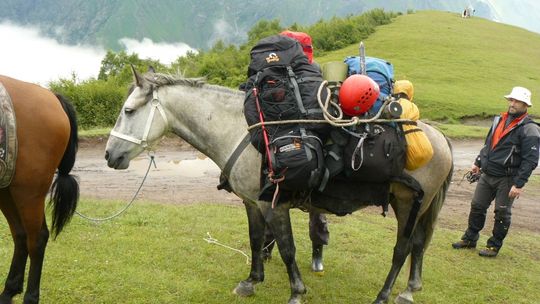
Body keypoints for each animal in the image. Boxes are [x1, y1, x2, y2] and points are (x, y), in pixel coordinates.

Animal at [0, 75, 79, 302]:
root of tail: (51, 96)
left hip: (29, 191)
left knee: (37, 238)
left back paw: (30, 296)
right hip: (8, 188)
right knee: (20, 234)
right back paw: (9, 290)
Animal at [104, 69, 452, 304]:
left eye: (128, 111)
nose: (109, 155)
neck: (242, 130)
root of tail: (440, 138)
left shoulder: (274, 204)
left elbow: (286, 248)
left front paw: (296, 291)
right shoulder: (252, 203)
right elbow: (257, 240)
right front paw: (251, 281)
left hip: (407, 203)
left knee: (402, 249)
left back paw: (383, 294)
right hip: (417, 206)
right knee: (419, 244)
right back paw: (409, 289)